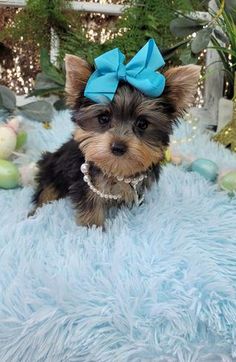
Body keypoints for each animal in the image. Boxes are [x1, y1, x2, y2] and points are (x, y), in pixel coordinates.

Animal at [30, 49, 201, 228]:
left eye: (142, 124)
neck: (117, 170)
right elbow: (91, 203)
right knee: (47, 190)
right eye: (103, 118)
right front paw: (93, 227)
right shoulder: (85, 184)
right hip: (52, 167)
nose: (118, 147)